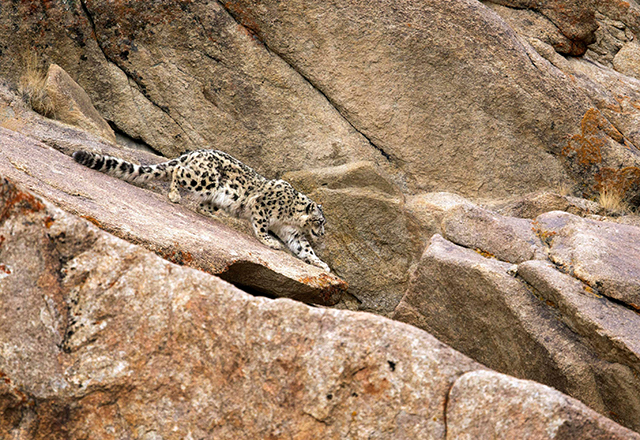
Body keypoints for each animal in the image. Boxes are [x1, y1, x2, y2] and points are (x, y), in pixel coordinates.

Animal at [72, 149, 330, 272]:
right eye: (320, 221)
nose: (323, 233)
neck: (291, 219)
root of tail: (195, 152)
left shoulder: (293, 233)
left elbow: (304, 248)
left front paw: (321, 264)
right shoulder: (261, 207)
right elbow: (261, 225)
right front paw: (270, 241)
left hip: (212, 192)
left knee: (200, 201)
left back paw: (210, 213)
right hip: (205, 179)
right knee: (179, 172)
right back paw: (175, 195)